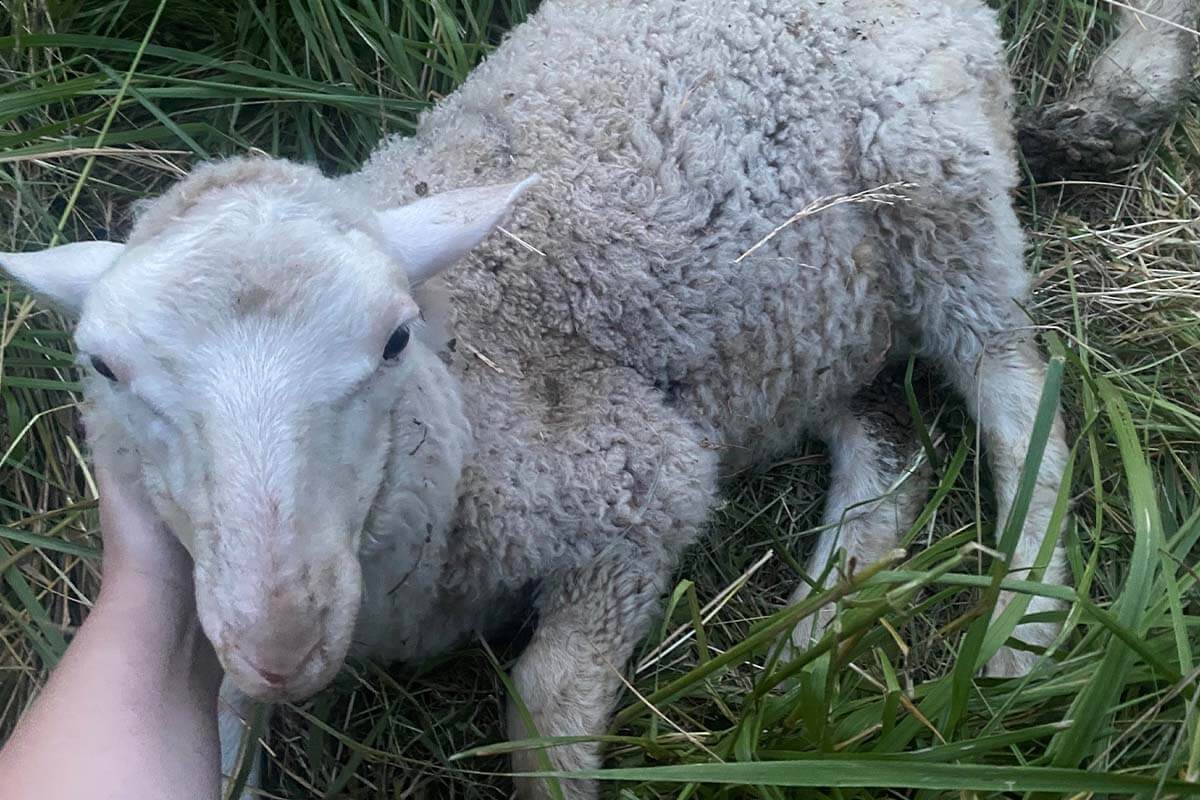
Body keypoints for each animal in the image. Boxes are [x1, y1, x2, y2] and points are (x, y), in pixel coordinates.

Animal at [0, 1, 1195, 800]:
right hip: (790, 332)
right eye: (104, 369)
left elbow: (545, 706)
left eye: (394, 338)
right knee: (886, 439)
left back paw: (1027, 625)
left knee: (1009, 382)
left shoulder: (637, 490)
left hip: (936, 176)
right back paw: (812, 638)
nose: (282, 641)